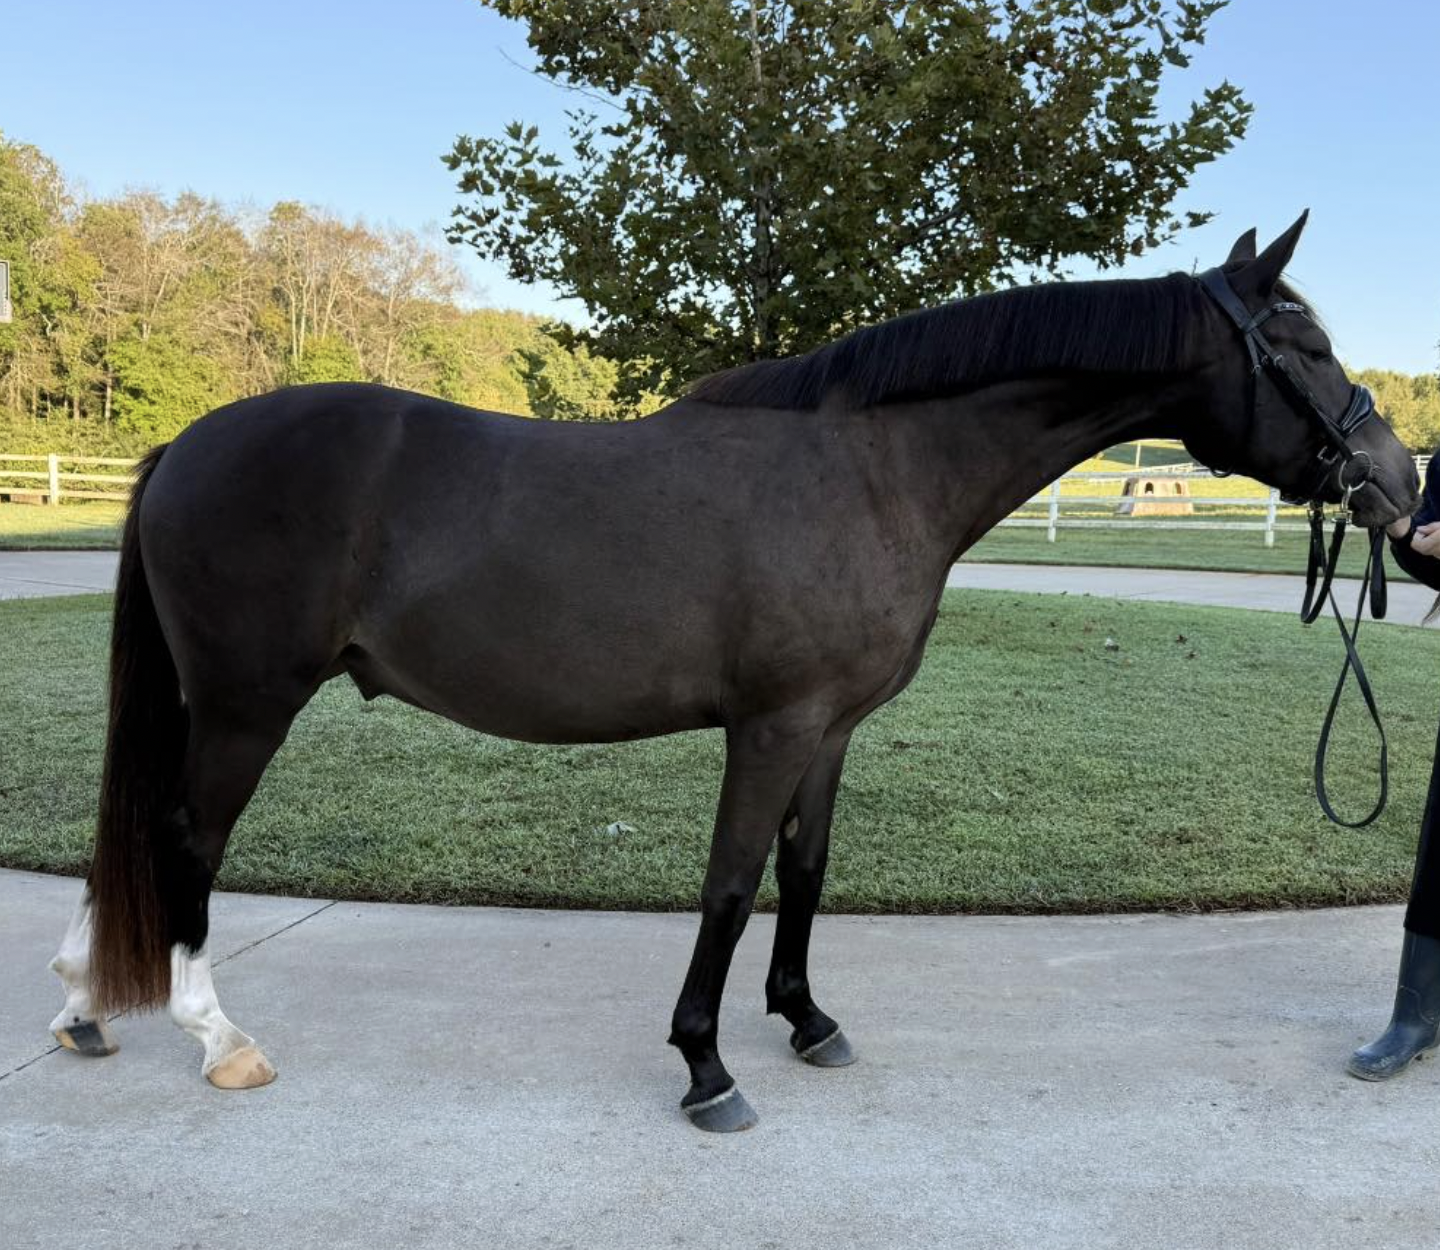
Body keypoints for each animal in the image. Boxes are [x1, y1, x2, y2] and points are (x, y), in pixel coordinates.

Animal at [47, 213, 1418, 1131]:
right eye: (1300, 341)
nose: (1398, 482)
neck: (872, 470)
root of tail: (183, 448)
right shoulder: (770, 725)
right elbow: (729, 881)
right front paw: (707, 1067)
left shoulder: (831, 728)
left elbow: (805, 873)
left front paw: (808, 1020)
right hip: (246, 703)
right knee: (183, 838)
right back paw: (217, 1037)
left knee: (141, 832)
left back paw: (81, 1004)